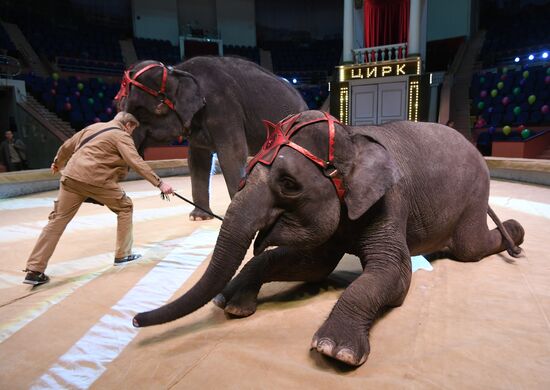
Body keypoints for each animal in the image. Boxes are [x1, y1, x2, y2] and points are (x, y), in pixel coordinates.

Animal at [115, 55, 310, 219]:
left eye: (146, 111)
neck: (178, 70)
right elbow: (197, 160)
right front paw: (199, 217)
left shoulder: (223, 107)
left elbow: (232, 154)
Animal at [134, 111, 528, 368]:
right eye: (247, 172)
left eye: (288, 184)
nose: (136, 320)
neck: (352, 136)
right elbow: (311, 265)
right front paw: (230, 304)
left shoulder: (391, 199)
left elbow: (395, 274)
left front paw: (334, 351)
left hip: (474, 193)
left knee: (468, 248)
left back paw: (516, 231)